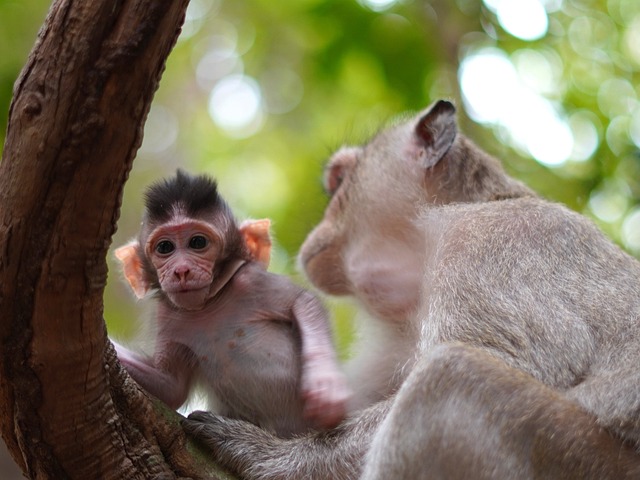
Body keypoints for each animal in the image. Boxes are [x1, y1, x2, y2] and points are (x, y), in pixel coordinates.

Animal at [112, 171, 348, 436]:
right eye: (165, 247)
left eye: (198, 243)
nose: (181, 270)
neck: (210, 305)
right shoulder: (168, 316)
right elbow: (170, 387)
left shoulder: (251, 281)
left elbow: (305, 302)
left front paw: (325, 385)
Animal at [182, 99, 640, 478]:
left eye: (339, 181)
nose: (315, 232)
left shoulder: (488, 246)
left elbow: (523, 363)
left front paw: (272, 456)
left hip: (575, 457)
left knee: (449, 375)